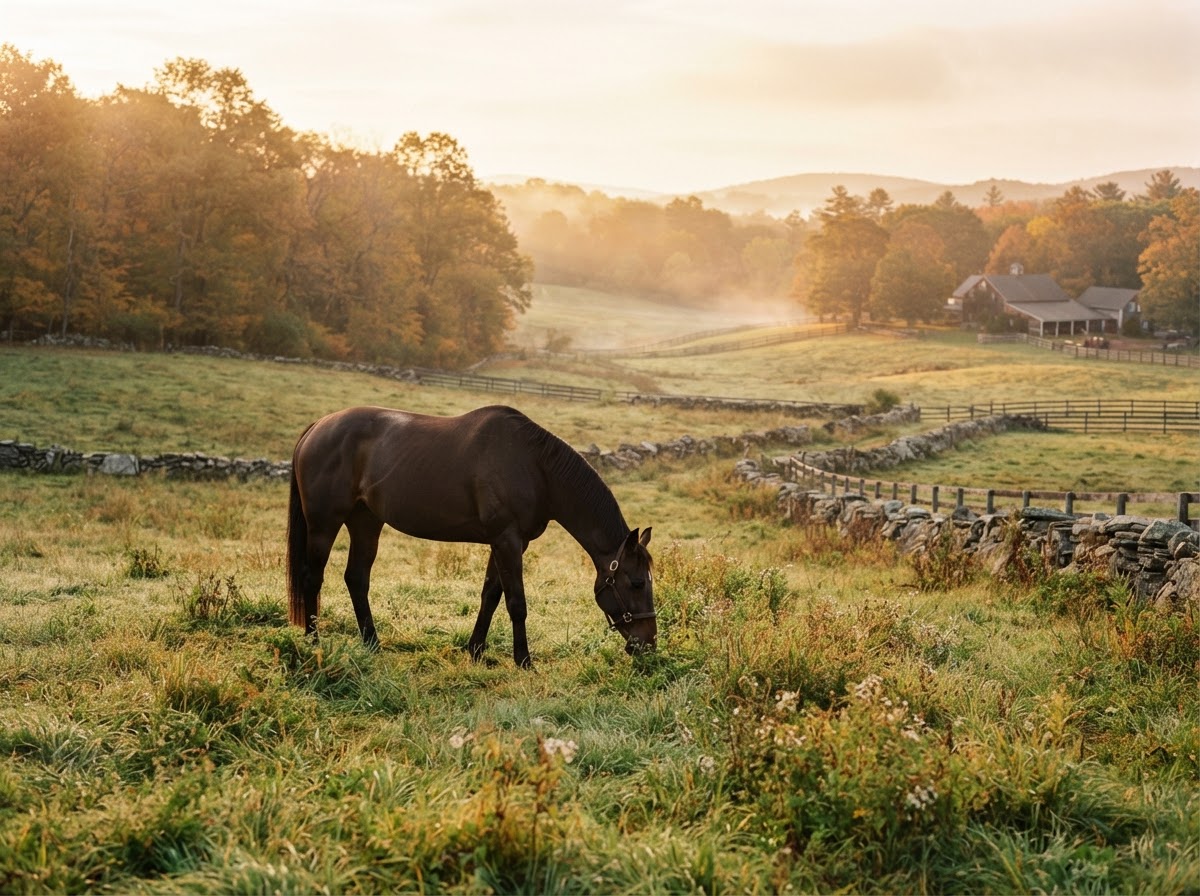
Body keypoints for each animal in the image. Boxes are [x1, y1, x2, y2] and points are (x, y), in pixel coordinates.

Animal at [286, 405, 656, 667]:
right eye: (637, 583)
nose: (649, 644)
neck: (535, 466)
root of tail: (317, 427)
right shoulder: (507, 540)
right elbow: (516, 602)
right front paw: (524, 661)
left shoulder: (506, 542)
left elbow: (490, 595)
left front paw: (476, 650)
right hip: (323, 524)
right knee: (313, 577)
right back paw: (313, 641)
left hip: (365, 523)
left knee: (356, 579)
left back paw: (372, 644)